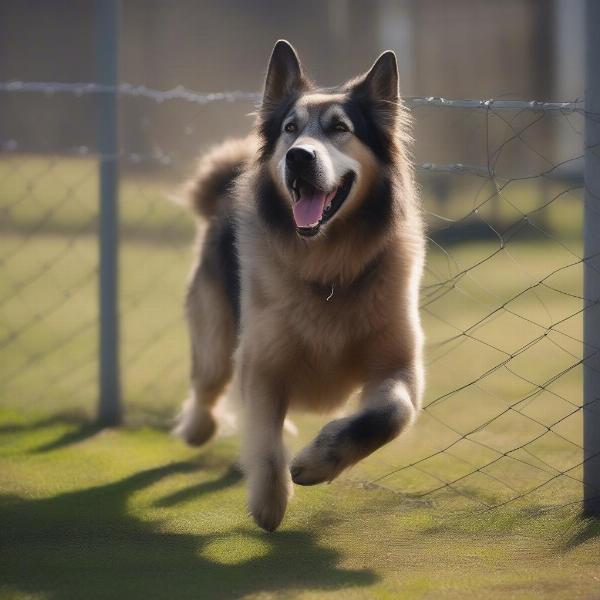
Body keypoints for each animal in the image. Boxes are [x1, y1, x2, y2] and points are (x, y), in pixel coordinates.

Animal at [176, 39, 424, 532]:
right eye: (290, 129)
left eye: (341, 128)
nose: (298, 156)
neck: (329, 268)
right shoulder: (263, 364)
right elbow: (265, 442)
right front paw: (269, 501)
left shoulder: (399, 368)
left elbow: (389, 416)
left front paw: (318, 461)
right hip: (215, 335)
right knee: (209, 384)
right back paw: (198, 428)